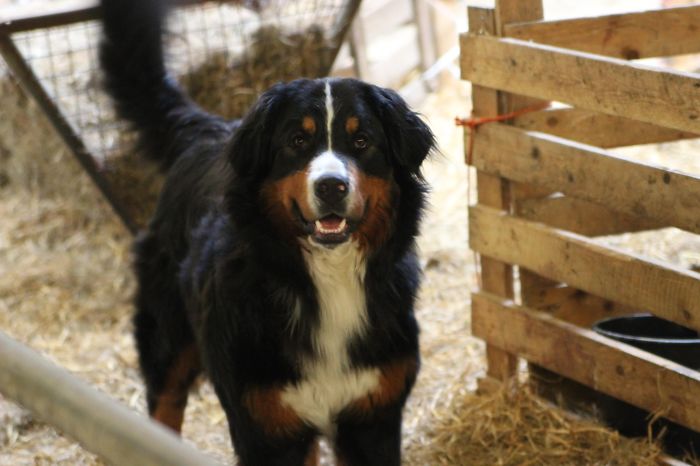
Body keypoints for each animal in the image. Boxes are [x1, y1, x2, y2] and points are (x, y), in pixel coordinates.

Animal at [100, 1, 438, 464]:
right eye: (297, 140)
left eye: (362, 141)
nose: (331, 186)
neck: (327, 283)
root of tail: (208, 130)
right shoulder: (265, 426)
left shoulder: (372, 418)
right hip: (166, 336)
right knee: (162, 408)